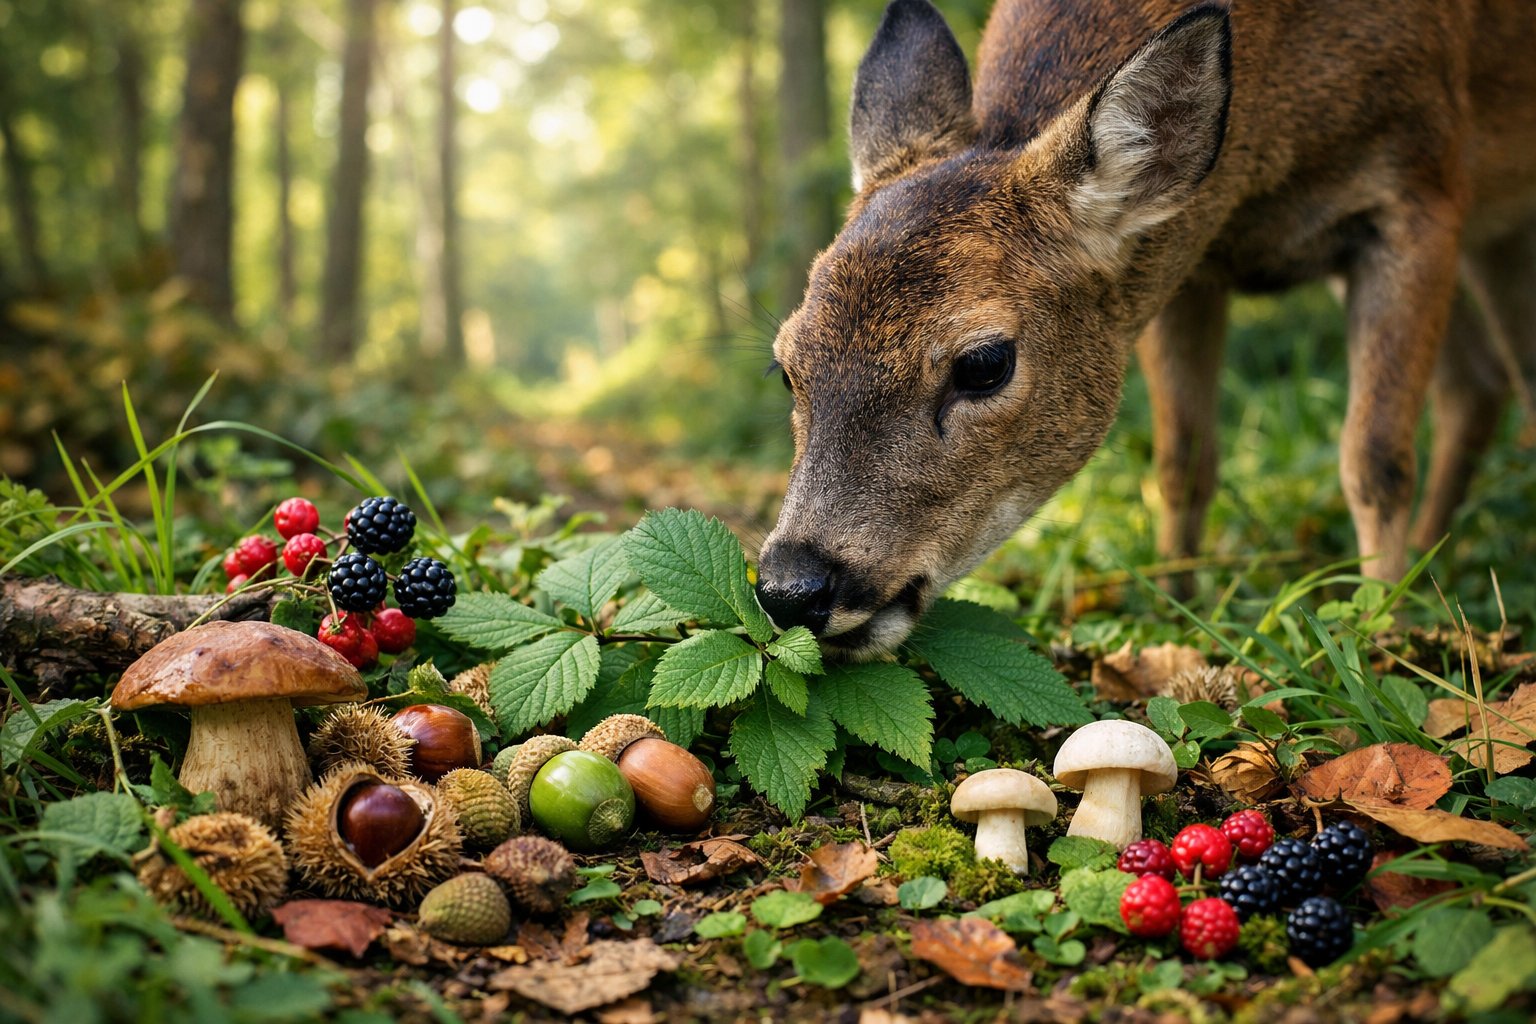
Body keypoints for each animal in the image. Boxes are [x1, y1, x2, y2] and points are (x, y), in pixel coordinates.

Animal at [754, 0, 1536, 659]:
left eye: (984, 363)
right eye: (786, 367)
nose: (792, 588)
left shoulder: (1419, 188)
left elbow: (1375, 457)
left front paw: (1380, 634)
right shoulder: (1181, 259)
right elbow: (1182, 459)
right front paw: (1173, 612)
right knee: (1481, 381)